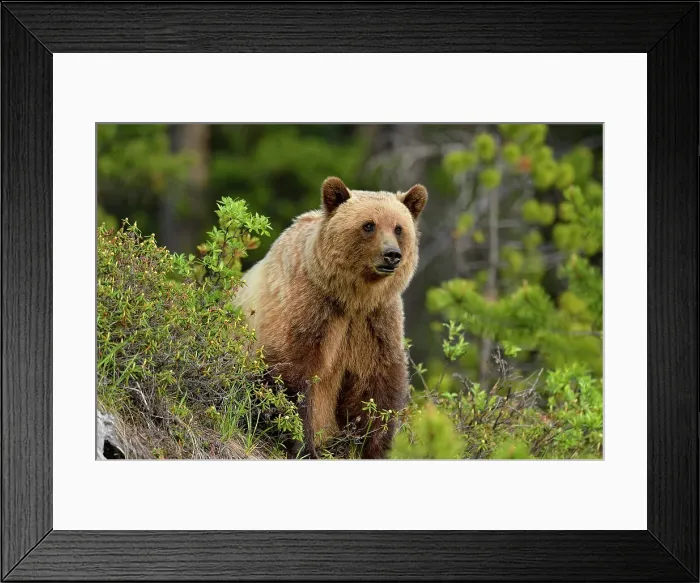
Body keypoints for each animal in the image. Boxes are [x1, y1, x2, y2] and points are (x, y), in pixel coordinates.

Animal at [233, 176, 428, 459]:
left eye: (399, 228)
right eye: (368, 225)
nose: (392, 255)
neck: (351, 297)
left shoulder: (375, 322)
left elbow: (377, 386)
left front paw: (373, 448)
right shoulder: (308, 307)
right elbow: (291, 374)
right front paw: (302, 445)